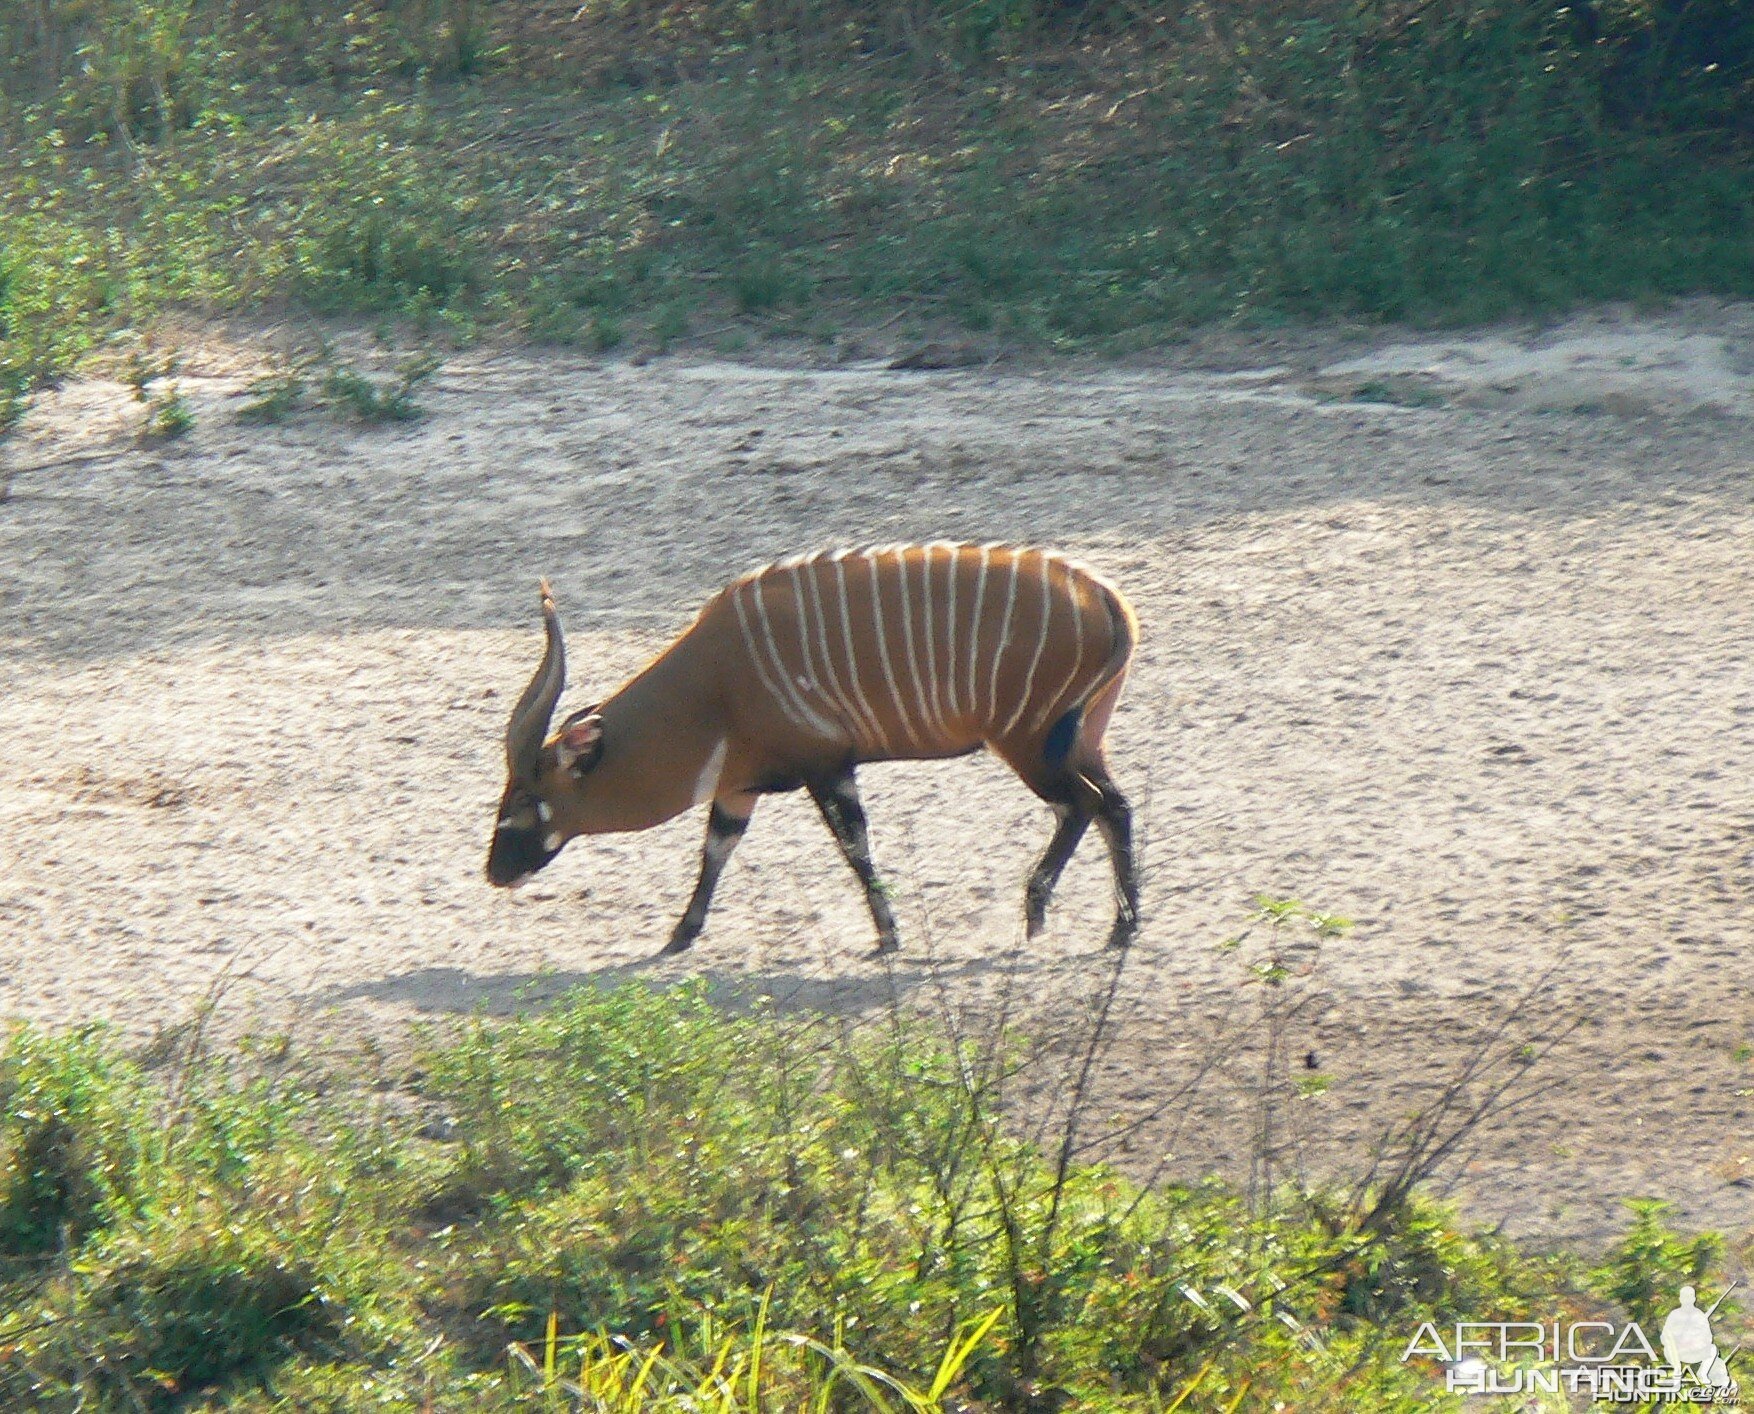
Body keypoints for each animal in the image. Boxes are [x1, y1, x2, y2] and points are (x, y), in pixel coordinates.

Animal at [484, 547, 1136, 961]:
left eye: (523, 800)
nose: (495, 874)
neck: (714, 683)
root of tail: (1107, 599)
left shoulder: (827, 768)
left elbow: (854, 847)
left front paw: (889, 936)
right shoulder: (738, 789)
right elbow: (715, 849)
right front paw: (680, 935)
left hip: (1029, 745)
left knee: (1083, 806)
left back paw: (1038, 914)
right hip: (1078, 742)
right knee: (1116, 807)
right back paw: (1121, 929)